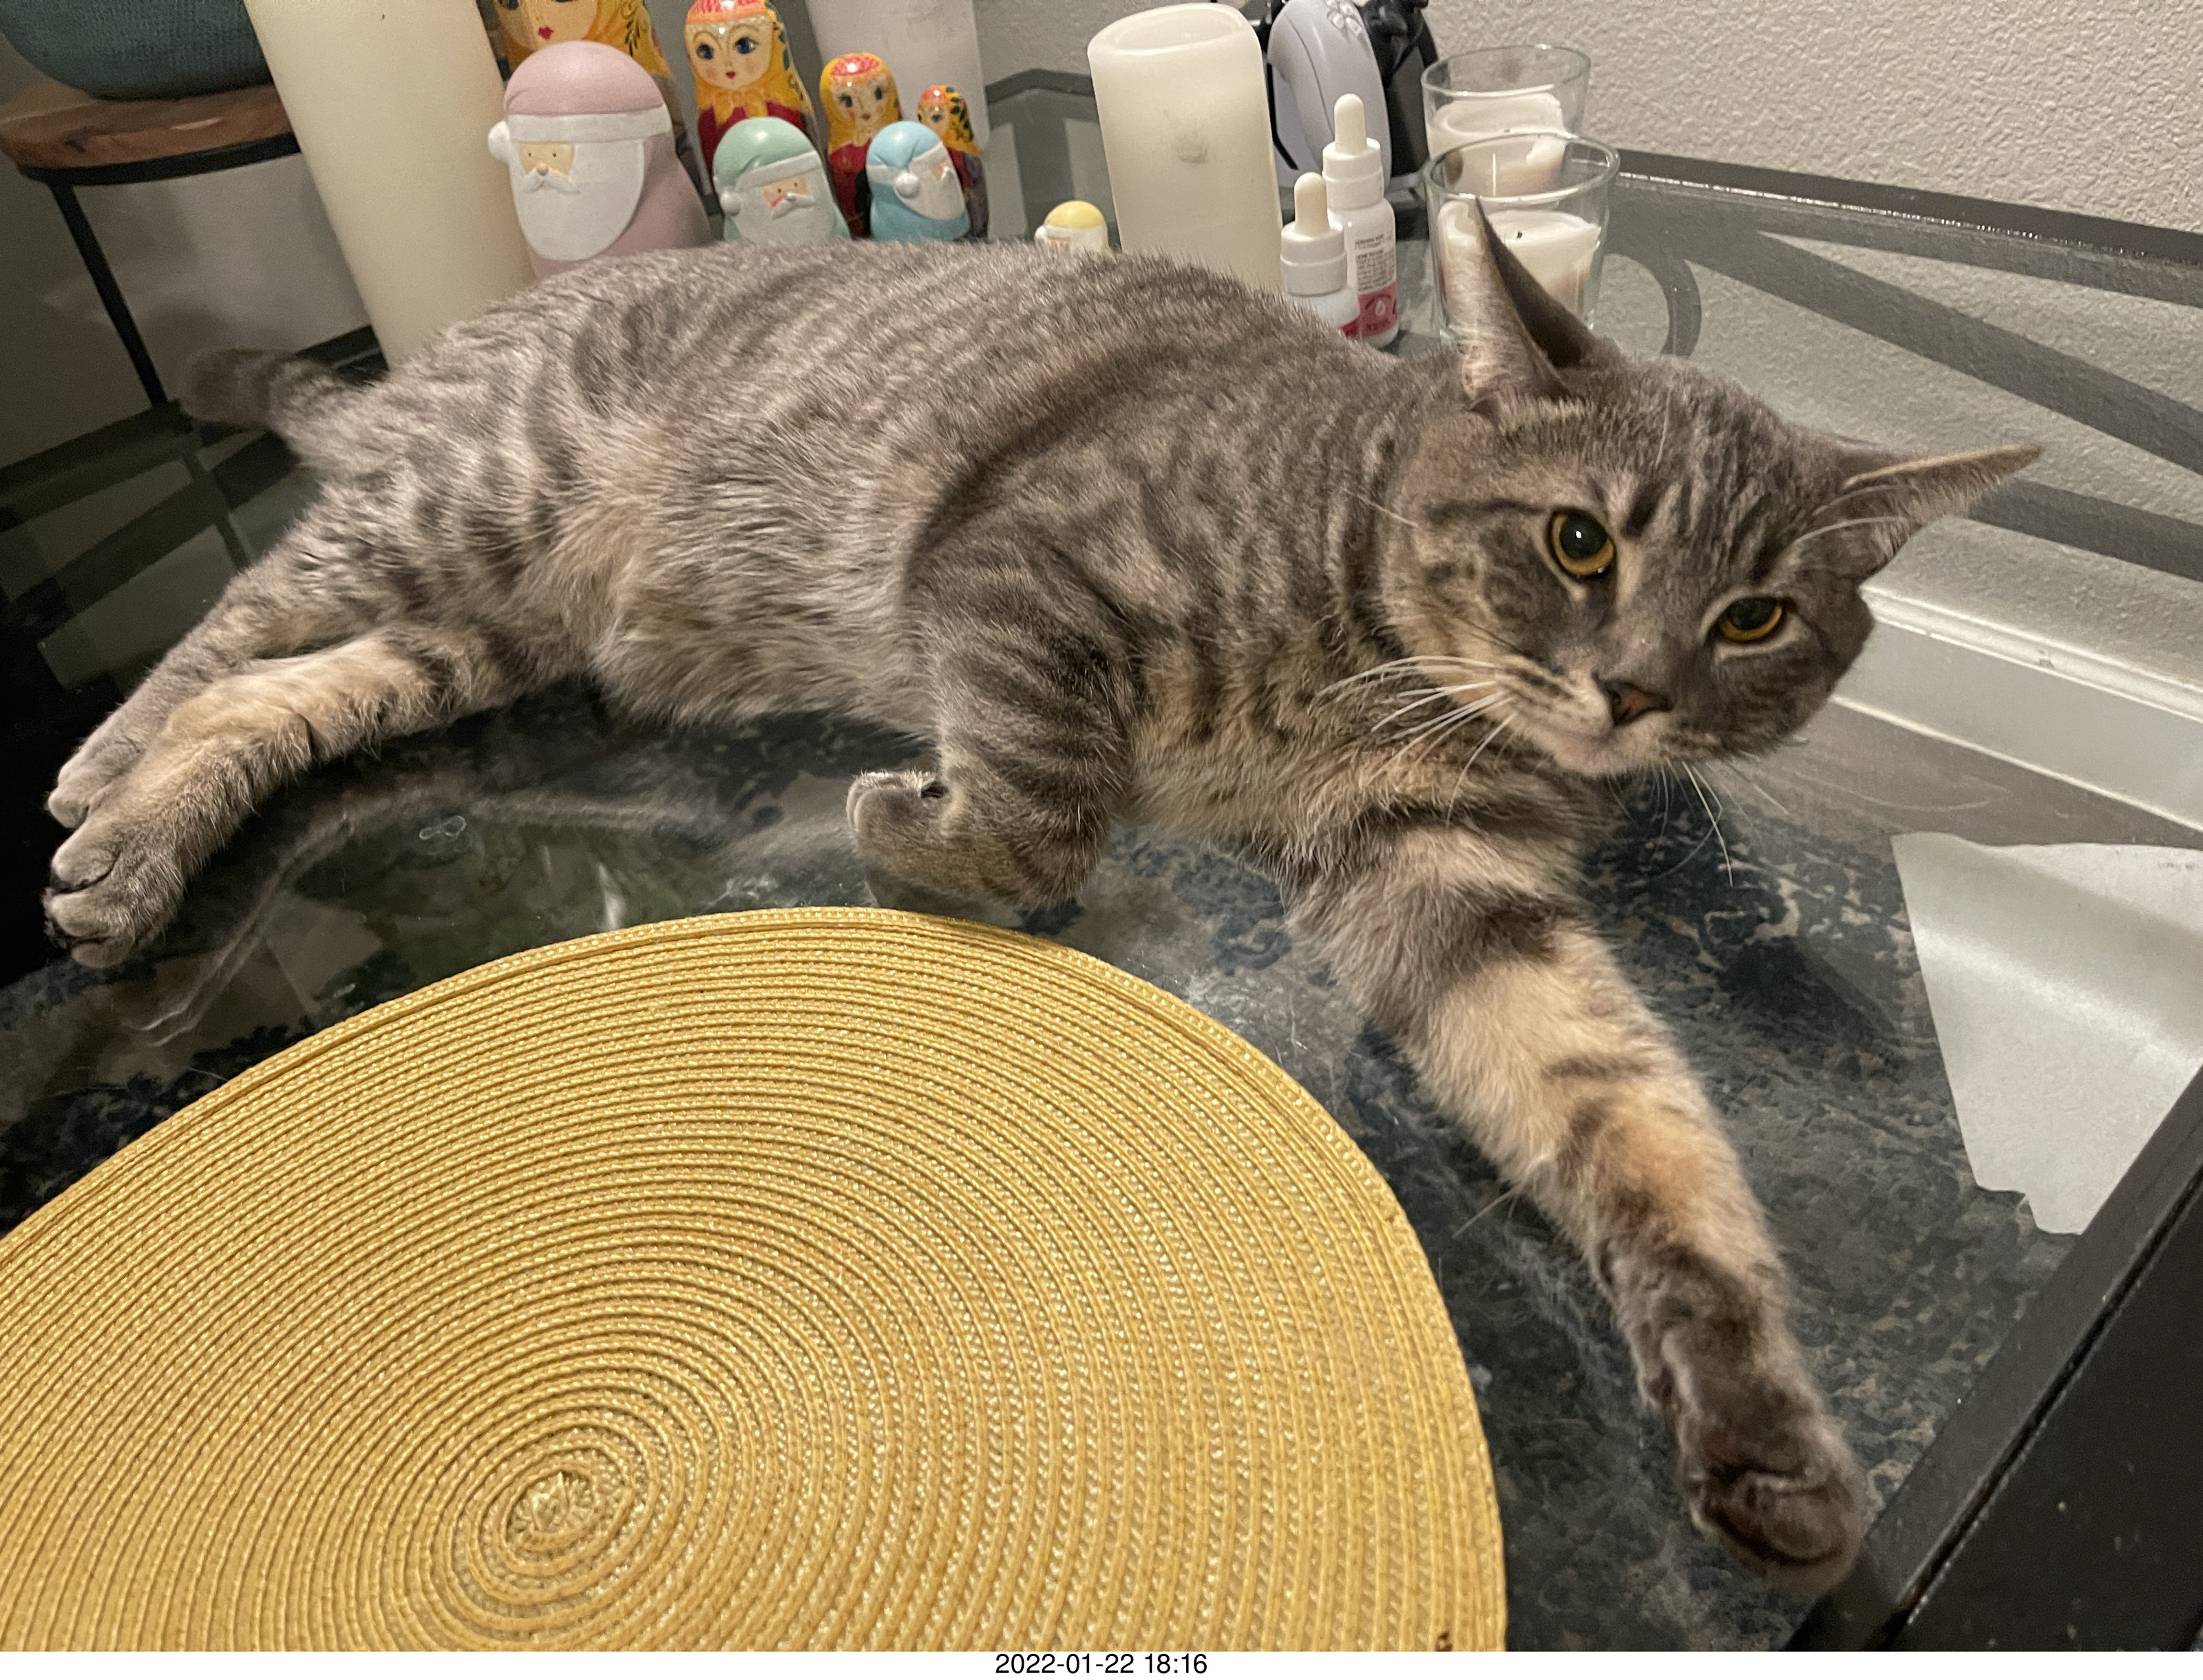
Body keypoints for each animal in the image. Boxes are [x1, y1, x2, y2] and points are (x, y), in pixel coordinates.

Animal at [44, 215, 2034, 1593]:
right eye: (1580, 540)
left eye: (1758, 617)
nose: (1631, 693)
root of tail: (451, 338)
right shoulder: (1016, 568)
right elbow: (1048, 815)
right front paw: (917, 821)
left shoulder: (1444, 881)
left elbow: (1636, 1124)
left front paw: (1759, 1416)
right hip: (470, 500)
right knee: (222, 630)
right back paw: (97, 795)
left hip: (482, 624)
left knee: (274, 694)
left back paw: (143, 840)